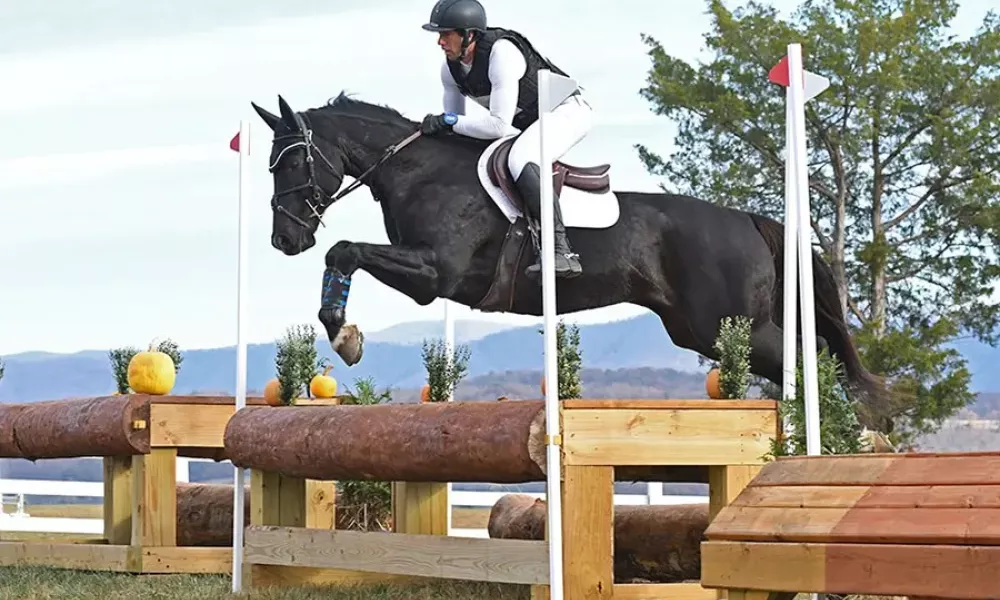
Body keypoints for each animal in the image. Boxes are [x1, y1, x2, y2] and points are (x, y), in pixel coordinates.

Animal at [250, 91, 892, 424]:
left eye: (293, 160)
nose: (285, 240)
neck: (418, 171)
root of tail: (751, 221)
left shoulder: (435, 273)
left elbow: (345, 250)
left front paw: (344, 335)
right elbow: (343, 254)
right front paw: (343, 331)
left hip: (728, 324)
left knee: (808, 363)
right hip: (701, 329)